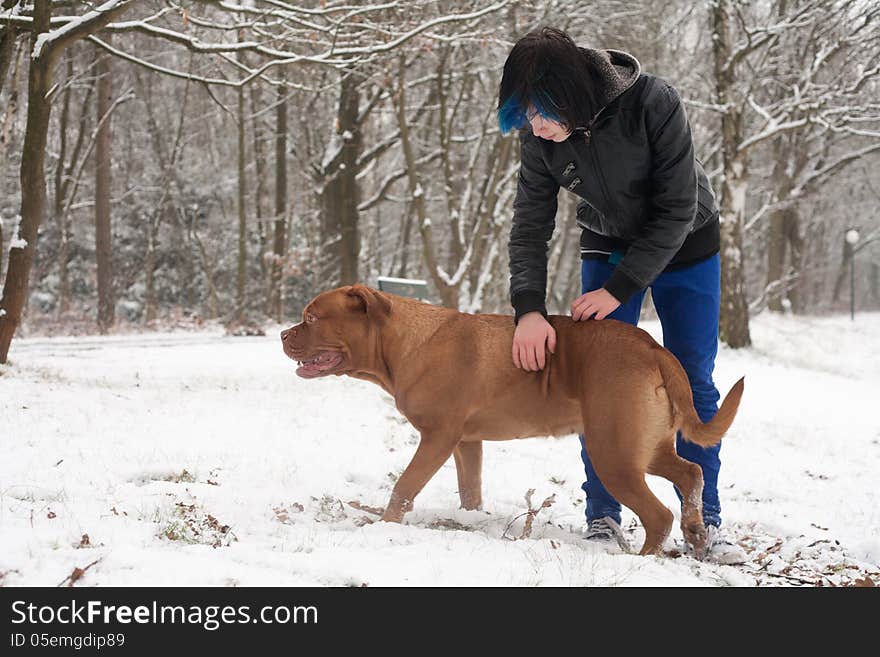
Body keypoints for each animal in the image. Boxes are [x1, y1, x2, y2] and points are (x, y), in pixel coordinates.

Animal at [282, 284, 744, 556]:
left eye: (312, 318)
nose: (284, 334)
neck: (403, 343)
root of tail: (652, 348)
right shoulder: (466, 443)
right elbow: (470, 491)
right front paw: (469, 522)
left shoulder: (437, 437)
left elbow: (404, 487)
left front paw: (383, 527)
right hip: (643, 447)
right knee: (692, 472)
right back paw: (696, 531)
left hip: (613, 454)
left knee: (658, 514)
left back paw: (646, 559)